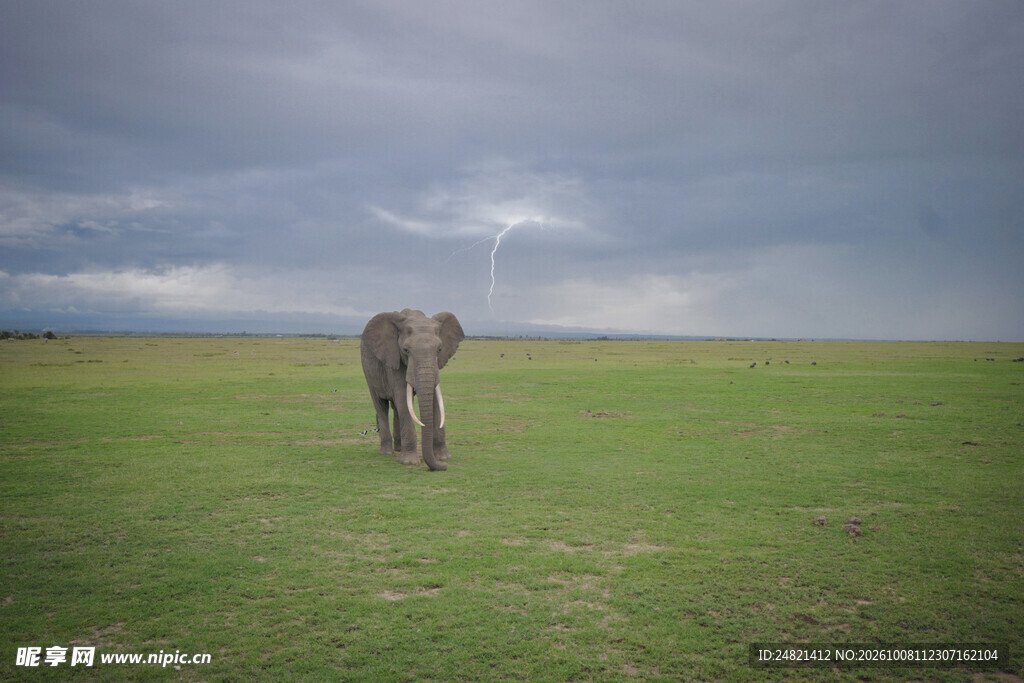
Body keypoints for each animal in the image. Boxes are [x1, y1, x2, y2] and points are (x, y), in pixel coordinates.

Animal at [360, 309, 465, 471]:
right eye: (406, 350)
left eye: (439, 349)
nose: (444, 466)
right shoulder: (393, 359)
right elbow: (403, 399)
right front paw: (409, 462)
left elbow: (434, 400)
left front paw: (443, 457)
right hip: (369, 373)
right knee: (381, 406)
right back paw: (386, 452)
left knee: (396, 408)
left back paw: (398, 449)